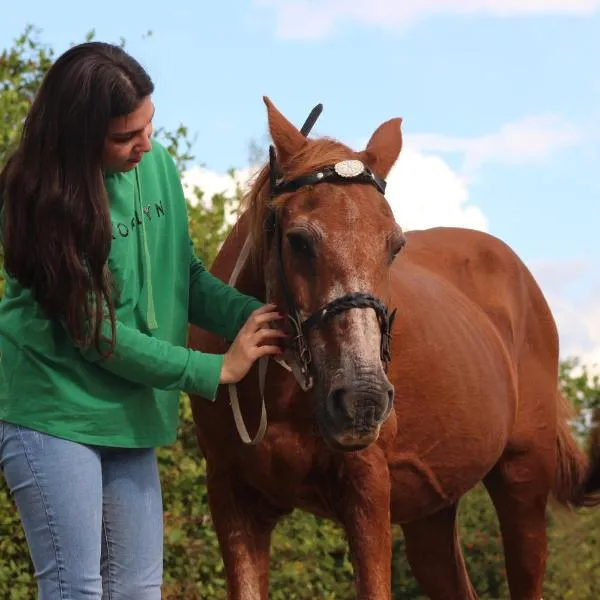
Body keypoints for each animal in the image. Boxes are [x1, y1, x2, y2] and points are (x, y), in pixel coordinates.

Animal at [189, 98, 600, 600]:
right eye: (299, 240)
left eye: (395, 245)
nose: (362, 399)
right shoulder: (234, 499)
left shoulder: (367, 490)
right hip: (431, 514)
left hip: (524, 480)